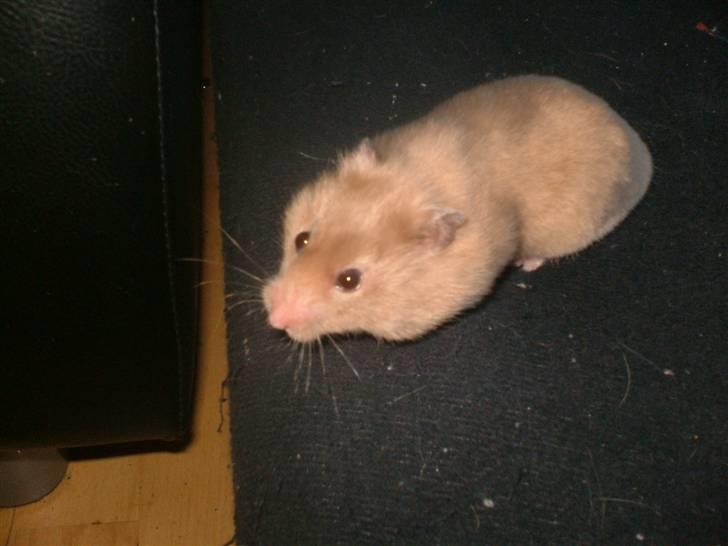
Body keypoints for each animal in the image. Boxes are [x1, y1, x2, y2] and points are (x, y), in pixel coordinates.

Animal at [262, 75, 652, 342]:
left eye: (349, 280)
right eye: (300, 239)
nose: (274, 320)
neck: (419, 182)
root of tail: (641, 152)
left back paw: (526, 262)